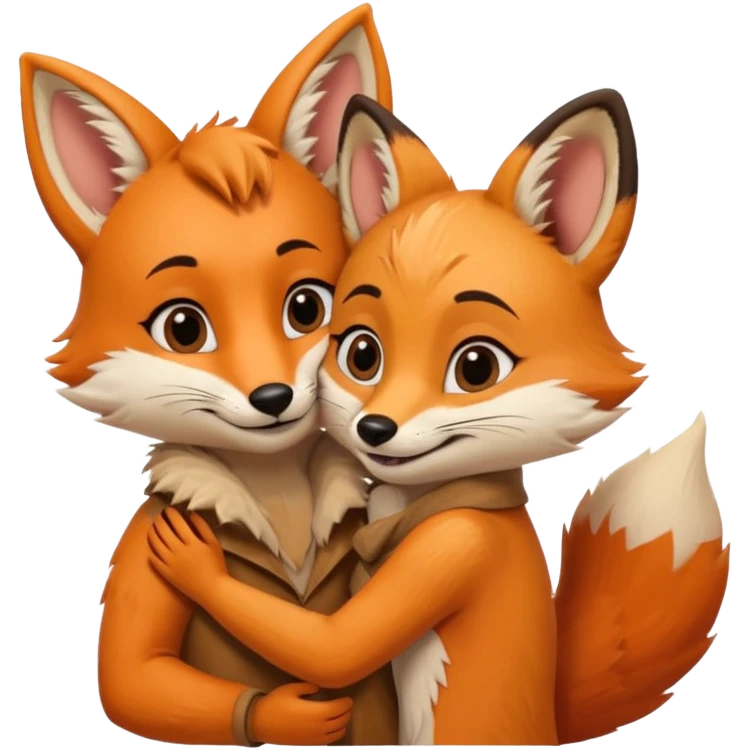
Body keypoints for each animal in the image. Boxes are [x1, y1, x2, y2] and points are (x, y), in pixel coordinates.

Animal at [21, 5, 404, 747]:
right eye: (183, 329)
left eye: (306, 308)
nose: (272, 396)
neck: (276, 493)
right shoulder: (148, 539)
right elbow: (133, 678)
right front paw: (289, 713)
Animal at [144, 89, 731, 746]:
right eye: (363, 354)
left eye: (476, 367)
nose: (375, 429)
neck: (419, 505)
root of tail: (551, 721)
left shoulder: (452, 550)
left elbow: (337, 647)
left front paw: (198, 567)